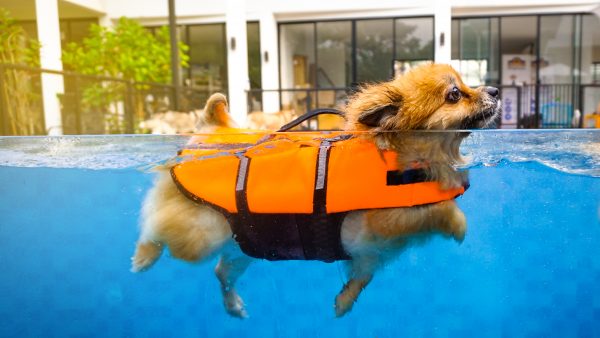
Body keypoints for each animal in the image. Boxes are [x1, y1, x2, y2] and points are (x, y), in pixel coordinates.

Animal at [131, 62, 502, 316]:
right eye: (455, 94)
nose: (496, 91)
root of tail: (206, 133)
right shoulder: (387, 221)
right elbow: (439, 208)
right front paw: (458, 225)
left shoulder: (369, 256)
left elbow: (360, 280)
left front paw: (343, 303)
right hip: (199, 234)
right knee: (155, 227)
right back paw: (143, 257)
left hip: (243, 243)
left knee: (221, 270)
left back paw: (233, 304)